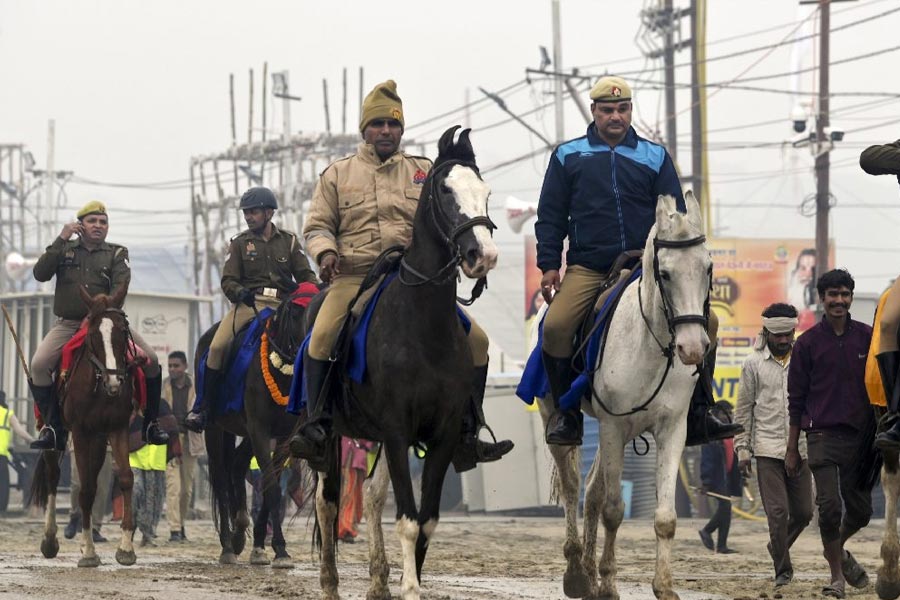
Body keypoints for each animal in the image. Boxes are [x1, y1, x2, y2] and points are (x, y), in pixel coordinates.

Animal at [29, 284, 142, 568]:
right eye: (92, 335)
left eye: (122, 332)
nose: (114, 382)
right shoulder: (80, 432)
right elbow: (86, 489)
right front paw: (89, 552)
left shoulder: (118, 428)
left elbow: (125, 478)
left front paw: (126, 547)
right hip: (57, 435)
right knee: (53, 476)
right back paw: (50, 539)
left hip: (99, 440)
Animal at [197, 290, 312, 568]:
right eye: (296, 312)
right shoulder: (260, 431)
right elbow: (271, 489)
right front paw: (280, 550)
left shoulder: (282, 435)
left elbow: (274, 489)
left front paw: (264, 547)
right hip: (215, 429)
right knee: (220, 478)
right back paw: (228, 546)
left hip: (245, 433)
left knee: (237, 465)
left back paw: (239, 535)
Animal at [310, 126, 500, 600]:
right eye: (445, 191)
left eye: (485, 192)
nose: (483, 256)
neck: (422, 326)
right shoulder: (397, 430)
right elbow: (409, 521)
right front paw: (410, 587)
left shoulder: (443, 435)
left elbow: (426, 520)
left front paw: (402, 580)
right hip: (329, 437)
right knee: (327, 502)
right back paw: (330, 585)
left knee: (373, 496)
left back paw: (378, 581)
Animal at [536, 192, 712, 600]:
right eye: (665, 273)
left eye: (708, 268)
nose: (693, 348)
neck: (651, 344)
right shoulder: (614, 427)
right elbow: (614, 510)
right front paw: (607, 585)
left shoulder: (671, 429)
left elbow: (664, 517)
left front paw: (663, 587)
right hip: (565, 420)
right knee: (574, 487)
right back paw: (576, 574)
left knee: (592, 490)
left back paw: (588, 571)